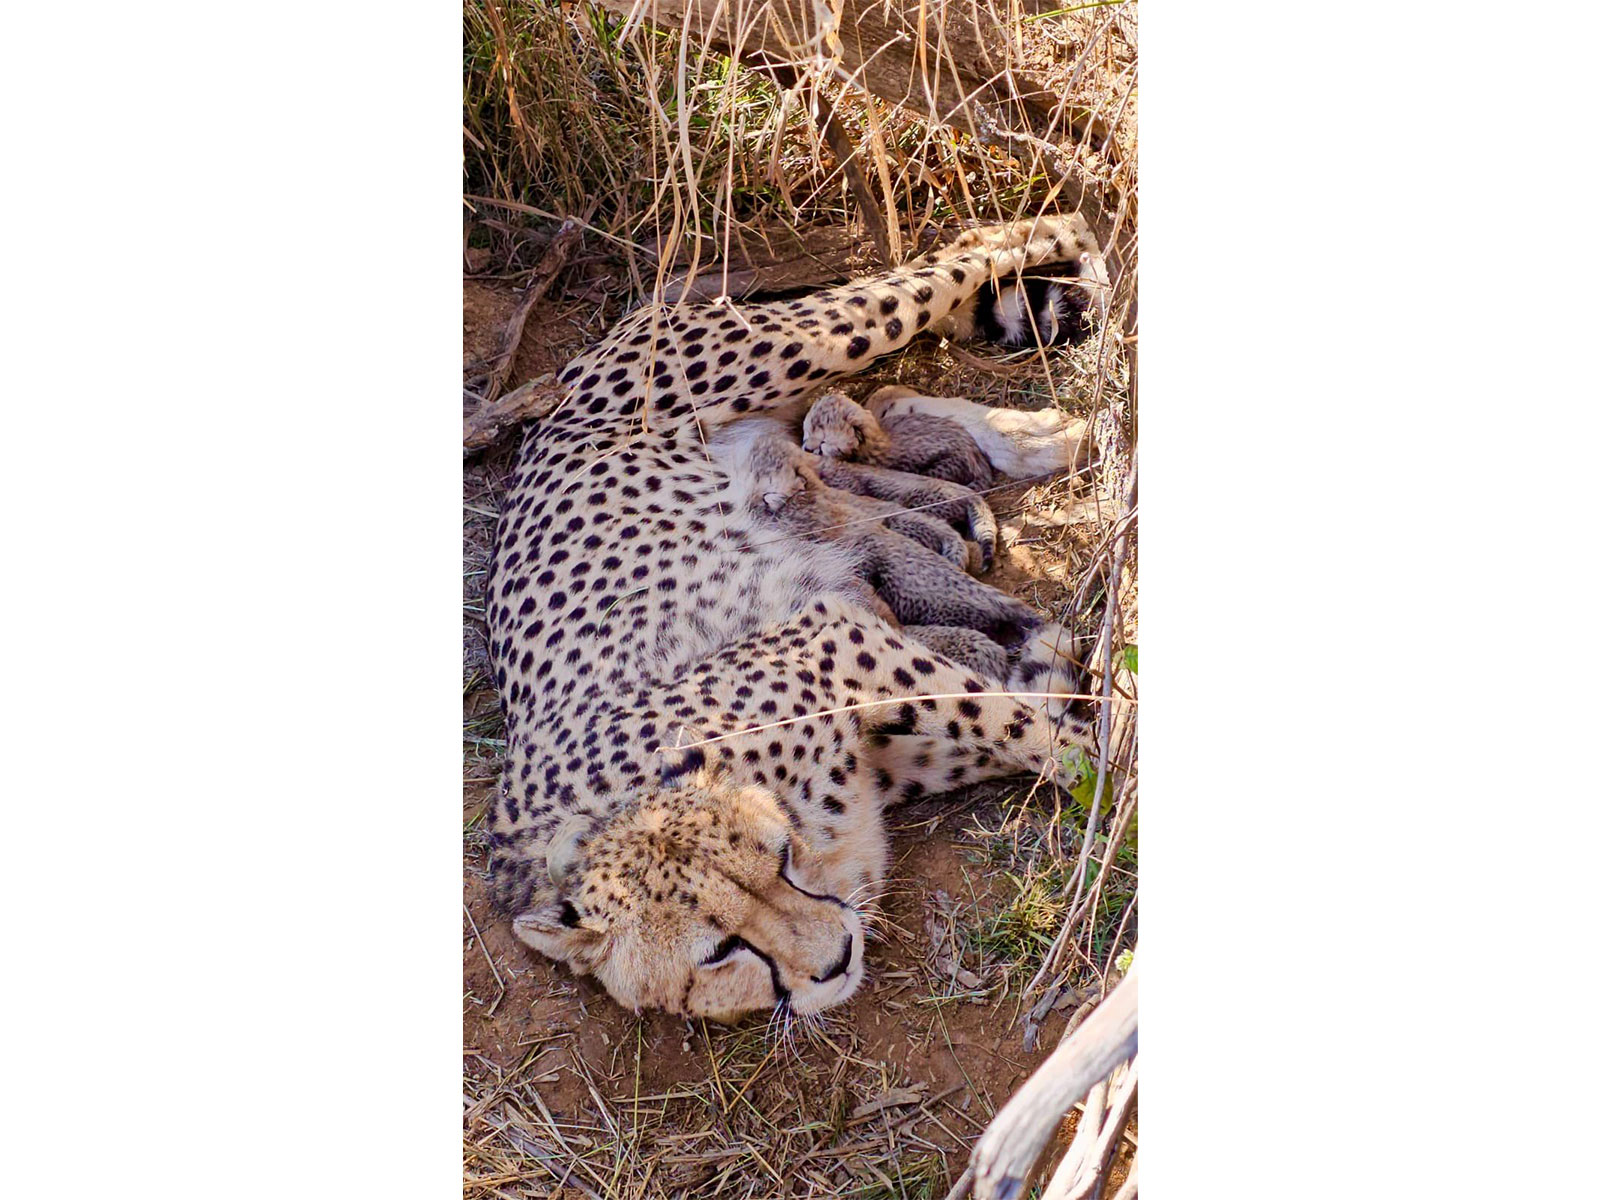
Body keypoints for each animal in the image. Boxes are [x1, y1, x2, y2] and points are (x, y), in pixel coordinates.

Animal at [484, 215, 1103, 1022]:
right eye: (718, 953)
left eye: (777, 859)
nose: (836, 958)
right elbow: (1017, 719)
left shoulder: (838, 641)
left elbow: (1032, 729)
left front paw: (1117, 772)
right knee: (894, 393)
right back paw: (1034, 440)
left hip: (806, 340)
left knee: (981, 249)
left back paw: (1075, 257)